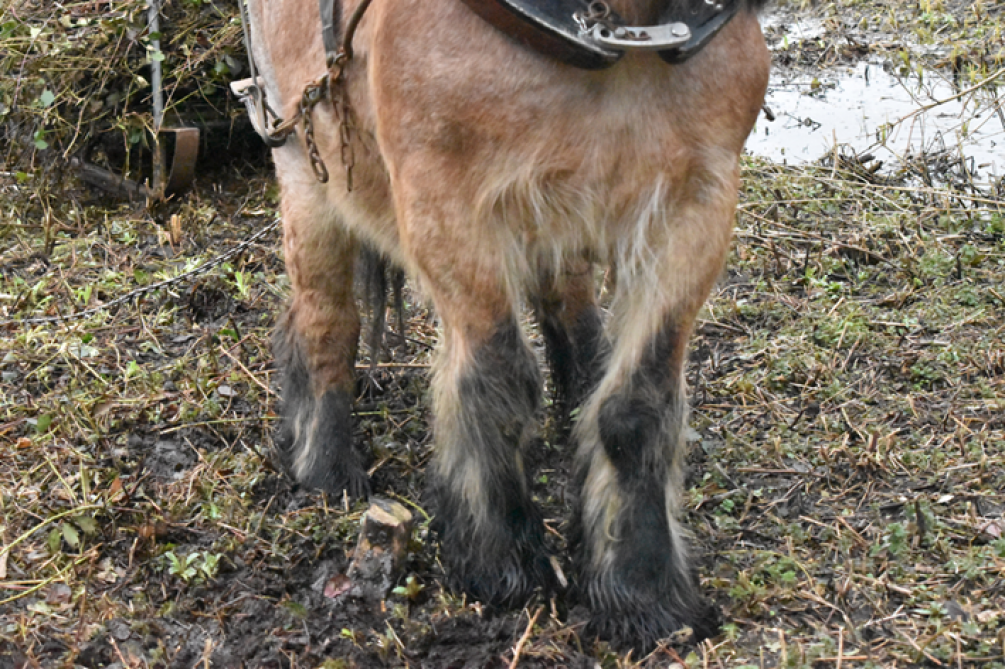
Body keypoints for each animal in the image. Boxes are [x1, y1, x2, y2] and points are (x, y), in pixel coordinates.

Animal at [241, 0, 767, 646]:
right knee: (322, 319)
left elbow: (637, 404)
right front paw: (502, 562)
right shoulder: (445, 207)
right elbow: (498, 378)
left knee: (569, 302)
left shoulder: (698, 207)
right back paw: (326, 466)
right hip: (302, 158)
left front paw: (642, 590)